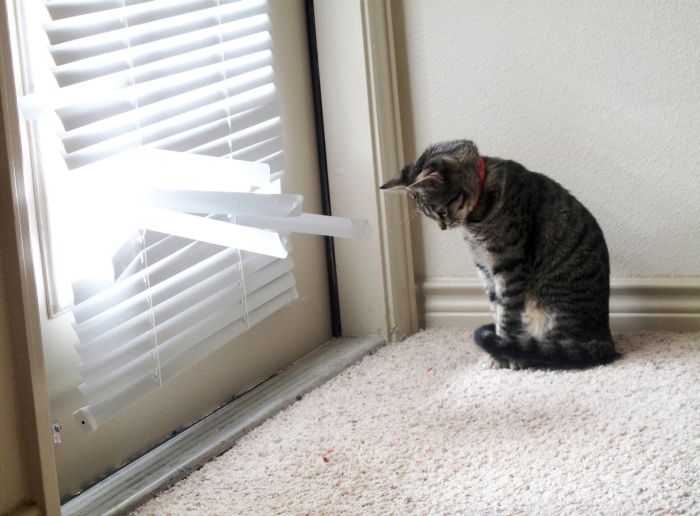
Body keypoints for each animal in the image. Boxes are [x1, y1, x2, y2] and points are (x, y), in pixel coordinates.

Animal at [381, 140, 619, 369]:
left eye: (439, 211)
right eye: (428, 215)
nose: (442, 227)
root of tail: (605, 337)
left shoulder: (509, 266)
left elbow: (506, 316)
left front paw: (504, 355)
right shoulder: (485, 269)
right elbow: (496, 311)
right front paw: (495, 354)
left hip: (553, 312)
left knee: (555, 351)